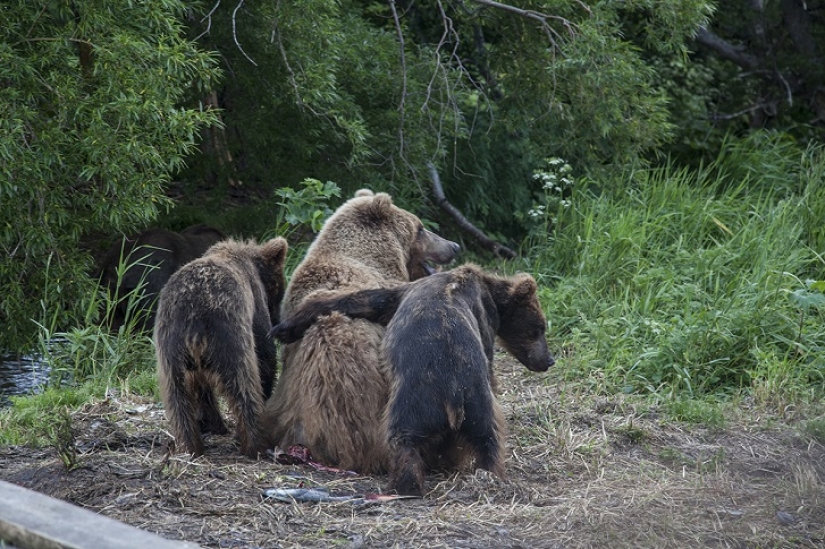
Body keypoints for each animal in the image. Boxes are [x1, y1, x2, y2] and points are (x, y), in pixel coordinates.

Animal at [156, 238, 288, 456]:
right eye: (279, 290)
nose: (277, 319)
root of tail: (195, 317)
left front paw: (210, 423)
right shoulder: (255, 309)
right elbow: (266, 356)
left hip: (170, 344)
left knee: (177, 395)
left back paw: (189, 445)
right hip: (229, 334)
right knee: (243, 383)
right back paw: (256, 444)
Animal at [270, 264, 552, 494]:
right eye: (539, 328)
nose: (548, 360)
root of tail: (453, 393)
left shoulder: (471, 314)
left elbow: (370, 300)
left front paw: (285, 327)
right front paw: (284, 328)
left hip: (420, 399)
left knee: (406, 439)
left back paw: (407, 484)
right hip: (473, 403)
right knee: (486, 438)